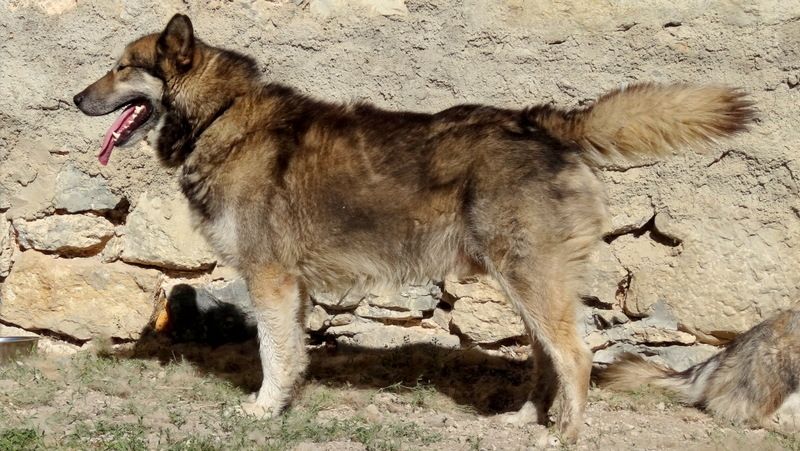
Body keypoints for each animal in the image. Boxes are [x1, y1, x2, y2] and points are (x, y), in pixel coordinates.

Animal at [72, 13, 752, 442]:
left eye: (123, 68)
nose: (76, 100)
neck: (220, 116)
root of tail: (544, 121)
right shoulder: (291, 287)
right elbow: (292, 353)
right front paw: (283, 403)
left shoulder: (270, 279)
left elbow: (272, 352)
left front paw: (264, 411)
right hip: (524, 285)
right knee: (545, 357)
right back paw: (526, 421)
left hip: (530, 282)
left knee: (578, 357)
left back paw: (564, 437)